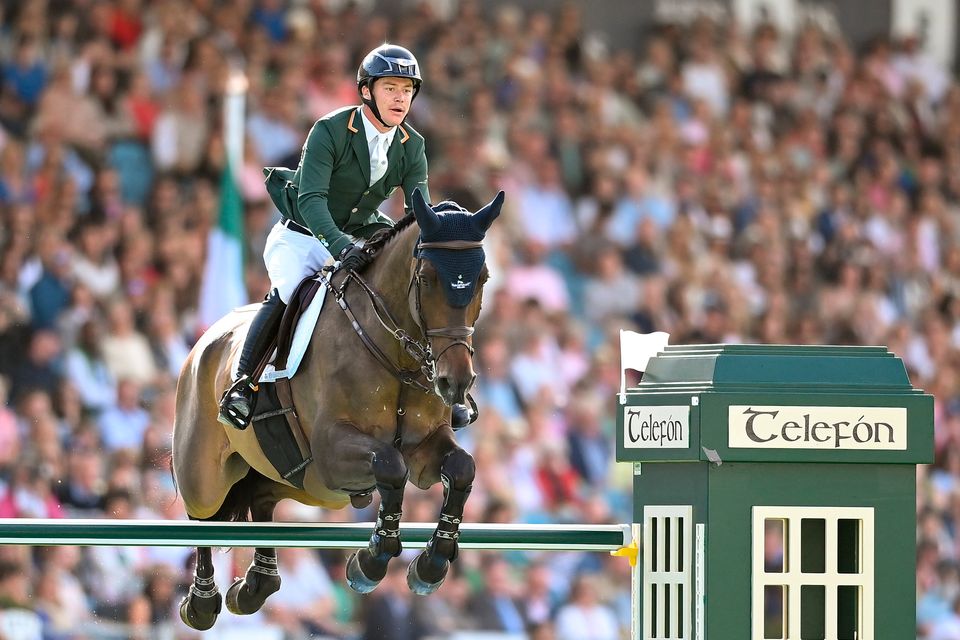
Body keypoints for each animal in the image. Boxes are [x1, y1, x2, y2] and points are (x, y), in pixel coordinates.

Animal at [172, 190, 502, 632]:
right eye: (427, 278)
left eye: (482, 279)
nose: (455, 382)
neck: (396, 350)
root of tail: (205, 340)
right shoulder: (333, 451)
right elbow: (390, 465)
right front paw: (370, 563)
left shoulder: (424, 447)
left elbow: (461, 467)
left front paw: (429, 567)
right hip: (208, 474)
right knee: (204, 517)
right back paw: (202, 602)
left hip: (303, 482)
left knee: (261, 497)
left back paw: (256, 586)